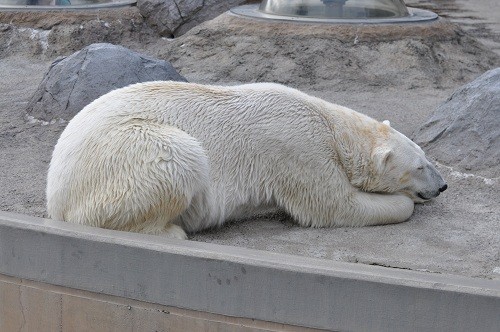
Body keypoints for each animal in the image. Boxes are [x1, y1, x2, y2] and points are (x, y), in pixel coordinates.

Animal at [46, 82, 446, 239]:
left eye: (428, 156)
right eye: (419, 166)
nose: (442, 185)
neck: (329, 123)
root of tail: (55, 193)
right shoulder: (298, 147)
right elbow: (333, 204)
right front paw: (403, 202)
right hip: (127, 152)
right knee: (177, 157)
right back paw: (173, 231)